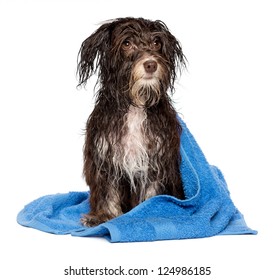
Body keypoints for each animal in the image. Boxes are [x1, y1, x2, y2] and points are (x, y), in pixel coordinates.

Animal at [76, 17, 187, 228]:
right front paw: (104, 217)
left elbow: (152, 192)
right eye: (127, 43)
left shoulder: (155, 160)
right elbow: (108, 191)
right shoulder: (107, 157)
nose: (151, 64)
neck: (136, 105)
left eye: (156, 43)